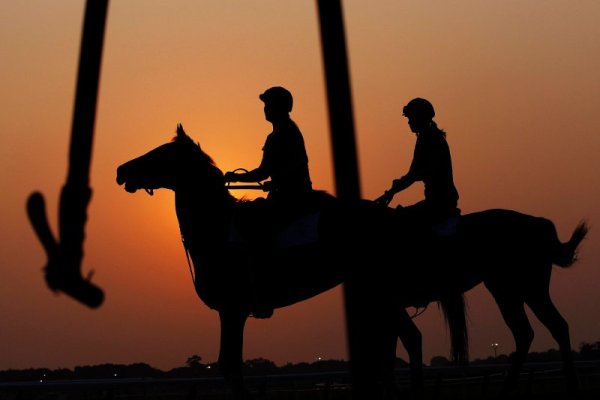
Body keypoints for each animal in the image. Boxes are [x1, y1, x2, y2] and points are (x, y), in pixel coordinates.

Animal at [116, 126, 584, 400]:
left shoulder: (233, 311)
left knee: (542, 329)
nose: (122, 170)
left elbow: (230, 366)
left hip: (511, 285)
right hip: (503, 287)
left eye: (159, 154)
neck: (217, 228)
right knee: (528, 332)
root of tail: (538, 224)